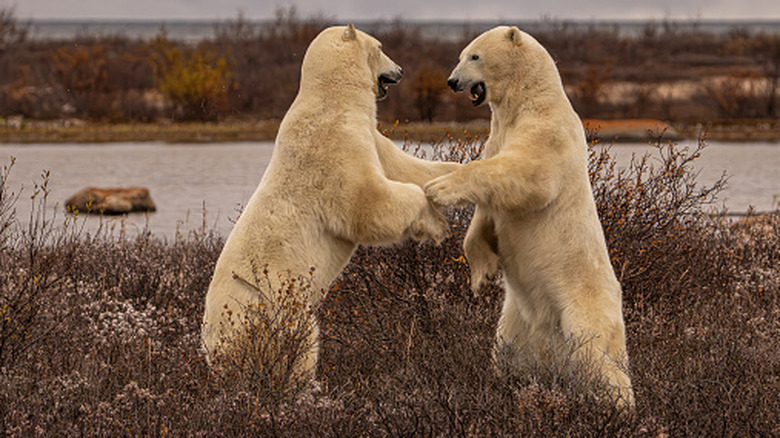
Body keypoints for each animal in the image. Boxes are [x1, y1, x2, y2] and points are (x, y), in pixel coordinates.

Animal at [202, 24, 460, 378]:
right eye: (381, 47)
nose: (400, 70)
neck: (333, 100)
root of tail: (211, 345)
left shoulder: (368, 134)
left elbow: (405, 166)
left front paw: (461, 175)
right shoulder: (334, 147)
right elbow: (368, 203)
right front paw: (436, 225)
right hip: (268, 310)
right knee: (299, 345)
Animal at [425, 26, 634, 408]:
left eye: (474, 55)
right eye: (461, 54)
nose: (452, 81)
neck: (527, 99)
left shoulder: (548, 130)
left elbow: (525, 175)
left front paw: (440, 186)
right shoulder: (496, 136)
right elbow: (488, 213)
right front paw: (481, 275)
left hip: (583, 302)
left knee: (595, 353)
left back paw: (620, 404)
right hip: (518, 318)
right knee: (507, 350)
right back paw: (508, 381)